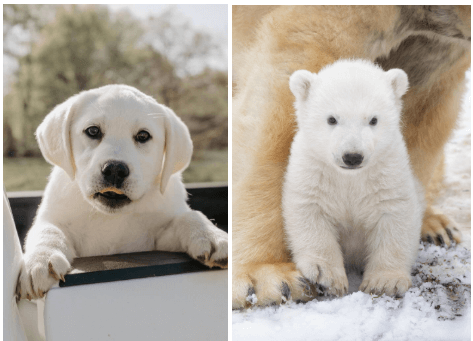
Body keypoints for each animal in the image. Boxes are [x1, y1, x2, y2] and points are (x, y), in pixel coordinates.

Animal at [19, 84, 230, 298]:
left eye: (143, 136)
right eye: (93, 131)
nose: (114, 169)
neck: (112, 217)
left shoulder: (158, 241)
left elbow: (189, 216)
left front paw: (210, 235)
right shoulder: (54, 219)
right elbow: (47, 230)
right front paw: (39, 259)